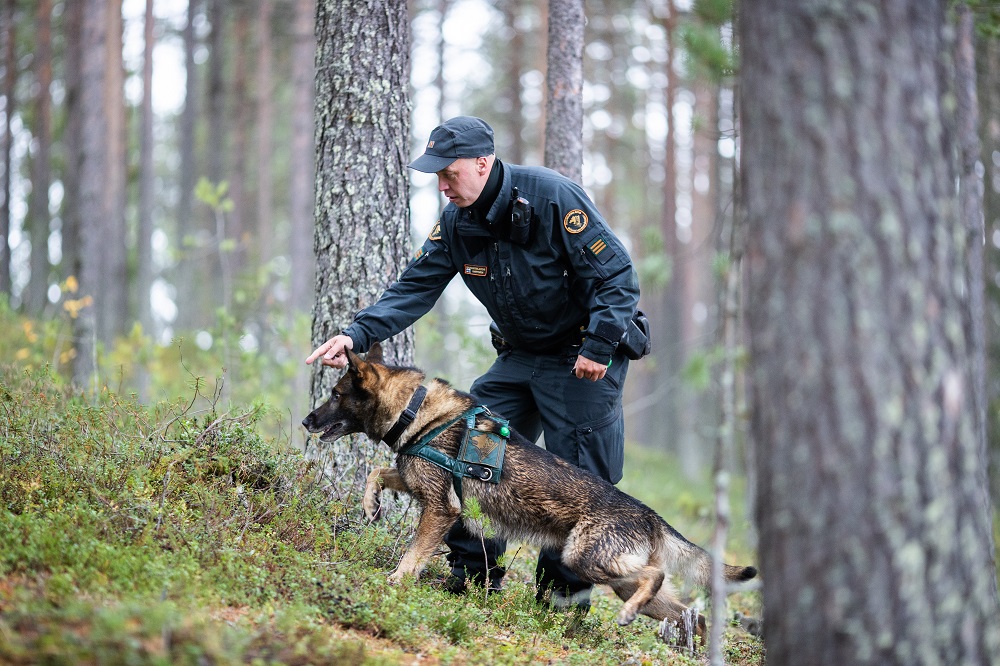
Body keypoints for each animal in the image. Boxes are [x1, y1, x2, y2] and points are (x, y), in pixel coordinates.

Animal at [300, 342, 752, 640]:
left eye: (336, 395)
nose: (307, 420)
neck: (416, 410)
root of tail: (650, 516)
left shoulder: (441, 508)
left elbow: (412, 555)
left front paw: (395, 582)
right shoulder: (416, 482)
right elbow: (377, 472)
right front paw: (370, 504)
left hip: (585, 558)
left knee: (655, 576)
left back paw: (629, 615)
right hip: (621, 577)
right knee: (687, 613)